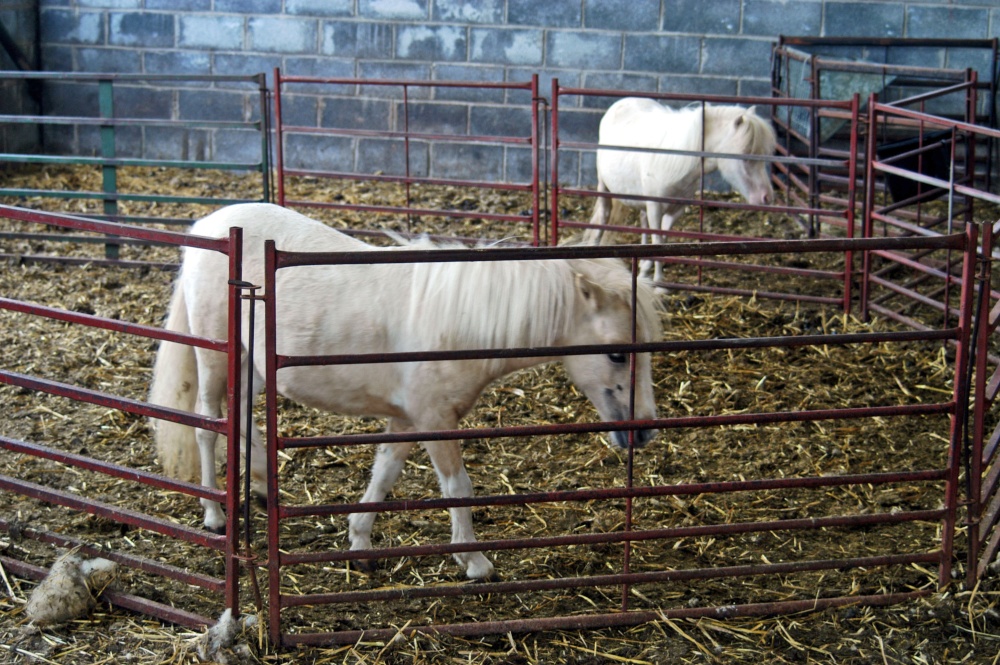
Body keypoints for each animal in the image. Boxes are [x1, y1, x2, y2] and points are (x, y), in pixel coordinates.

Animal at [148, 204, 660, 580]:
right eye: (618, 354)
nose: (644, 431)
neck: (463, 319)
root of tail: (208, 226)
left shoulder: (407, 419)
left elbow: (384, 474)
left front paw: (359, 541)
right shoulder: (435, 420)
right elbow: (457, 487)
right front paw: (474, 561)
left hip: (251, 363)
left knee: (242, 419)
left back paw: (259, 485)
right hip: (216, 357)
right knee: (208, 425)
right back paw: (214, 514)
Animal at [584, 98, 780, 282]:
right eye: (745, 156)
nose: (767, 197)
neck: (678, 159)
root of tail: (621, 103)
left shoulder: (675, 210)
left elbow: (663, 241)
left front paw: (648, 273)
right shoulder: (655, 207)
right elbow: (658, 240)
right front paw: (658, 281)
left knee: (643, 221)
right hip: (603, 186)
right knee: (604, 215)